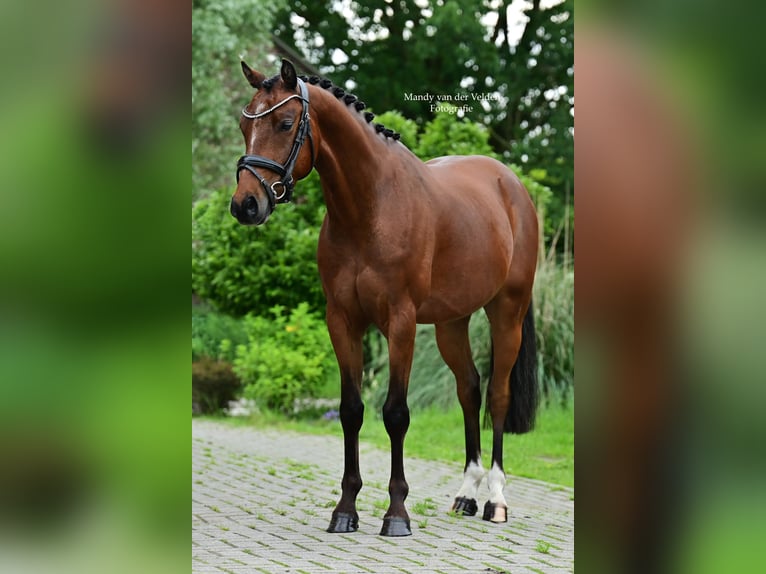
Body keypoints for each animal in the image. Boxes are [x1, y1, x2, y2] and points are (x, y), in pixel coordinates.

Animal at [232, 60, 540, 536]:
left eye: (284, 123)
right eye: (245, 126)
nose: (245, 205)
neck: (370, 208)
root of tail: (511, 185)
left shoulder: (400, 322)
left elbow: (396, 413)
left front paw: (396, 514)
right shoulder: (342, 321)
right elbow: (350, 410)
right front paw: (345, 509)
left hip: (507, 311)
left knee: (497, 396)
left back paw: (495, 500)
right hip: (452, 322)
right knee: (469, 389)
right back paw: (466, 495)